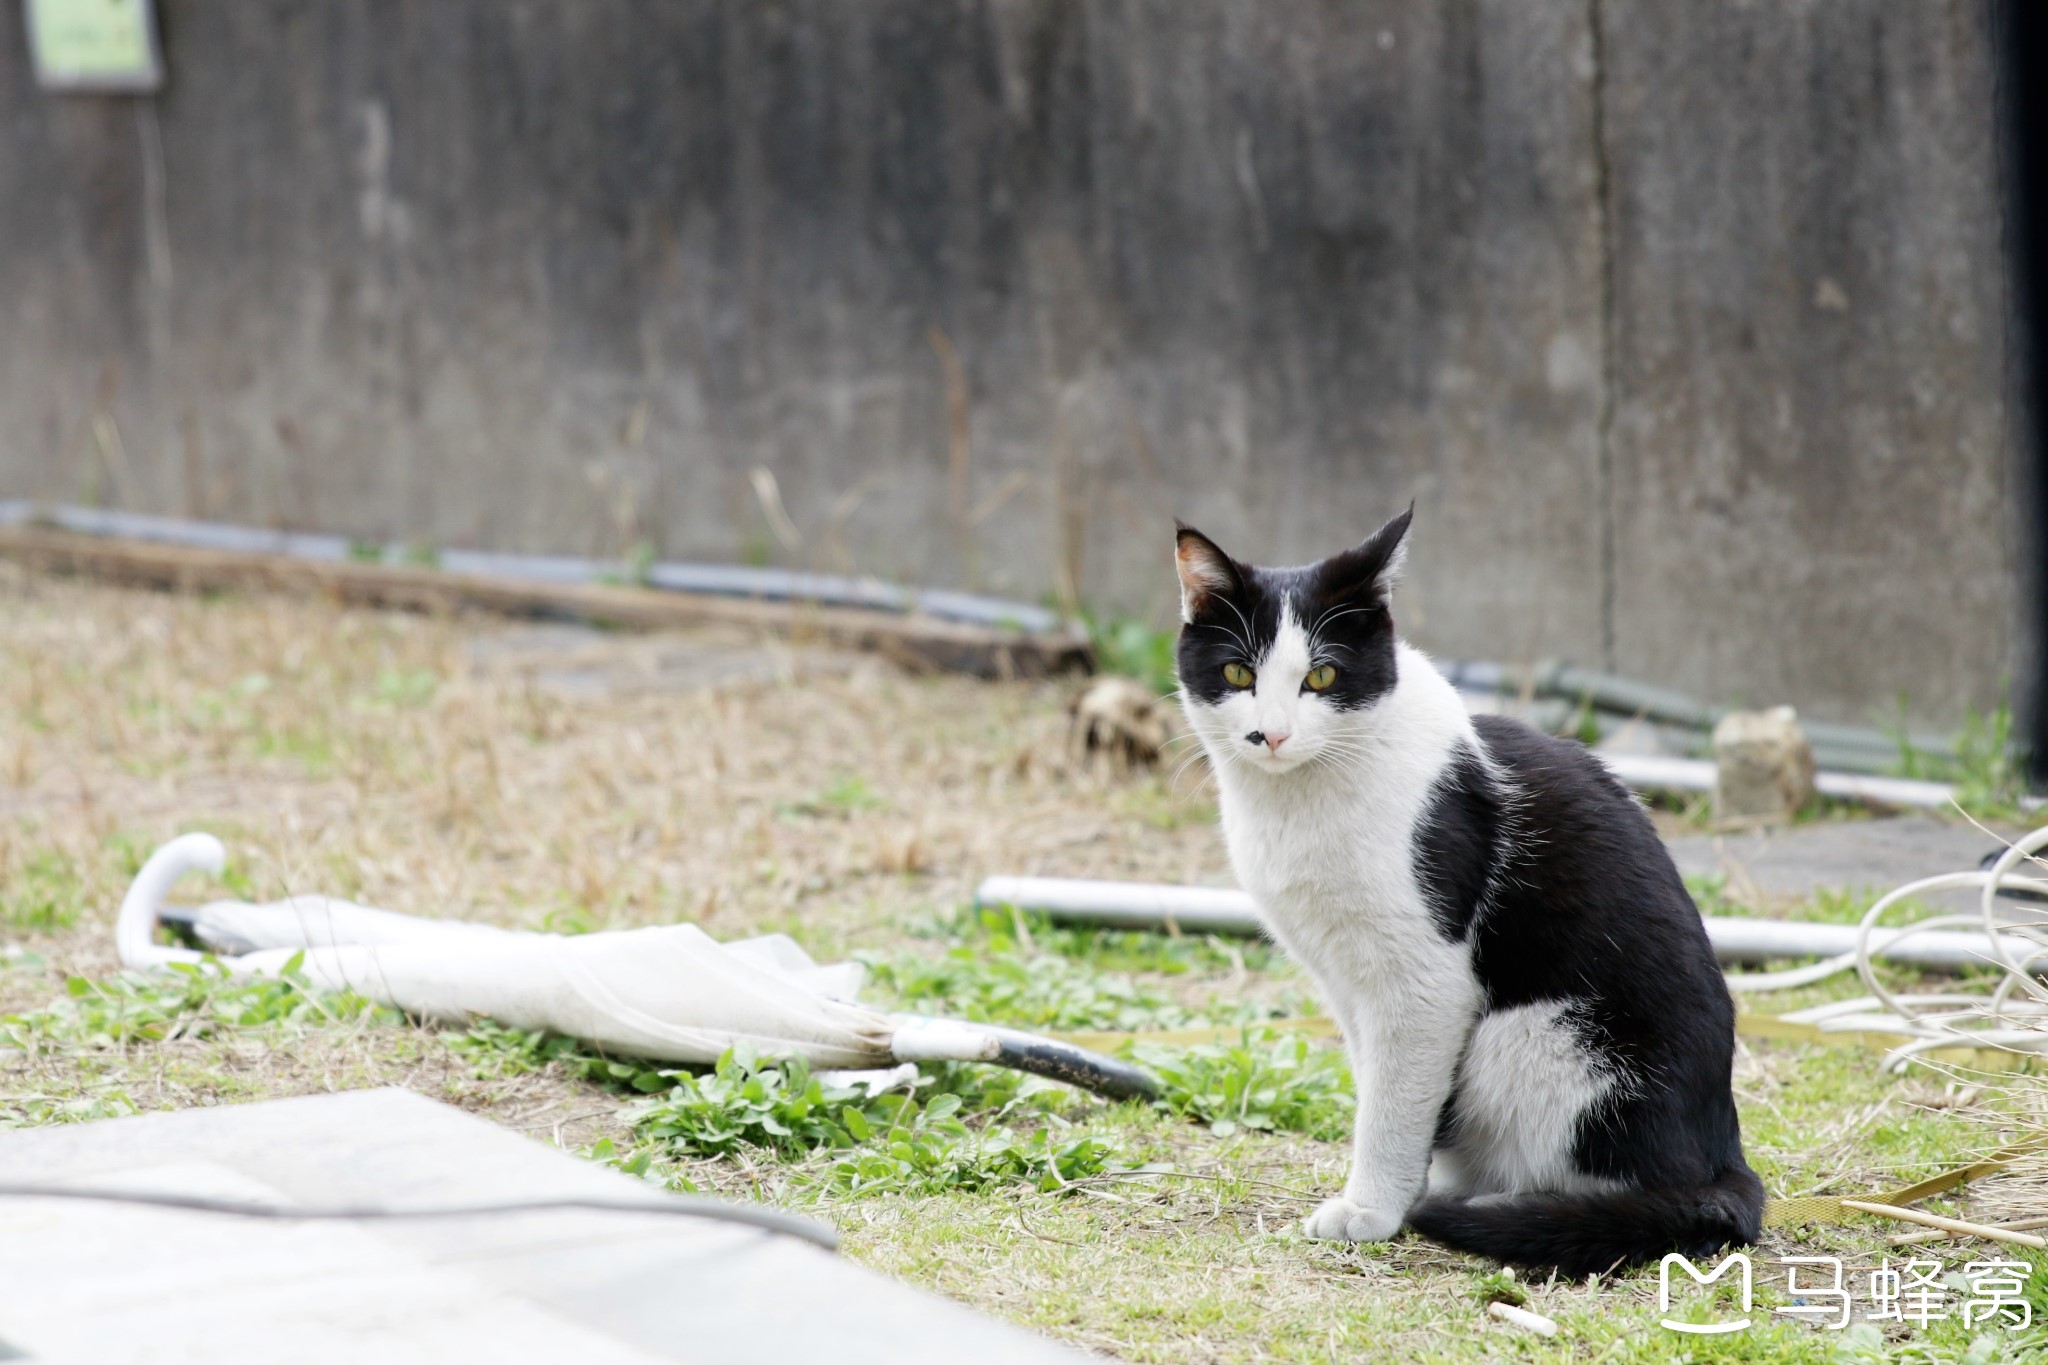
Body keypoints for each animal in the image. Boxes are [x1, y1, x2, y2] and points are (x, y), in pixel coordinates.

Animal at [1179, 507, 1769, 1277]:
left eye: (1323, 675)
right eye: (1237, 672)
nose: (1270, 735)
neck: (1300, 799)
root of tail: (1724, 1156)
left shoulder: (1425, 980)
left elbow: (1394, 1100)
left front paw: (1373, 1210)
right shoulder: (1345, 979)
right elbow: (1382, 1084)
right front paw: (1397, 1189)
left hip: (1535, 1036)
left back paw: (1512, 1211)